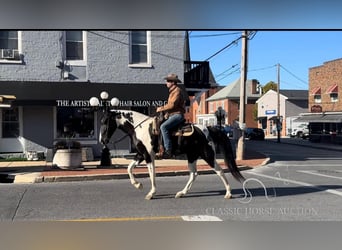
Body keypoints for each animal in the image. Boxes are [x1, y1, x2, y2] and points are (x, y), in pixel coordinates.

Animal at [100, 110, 244, 200]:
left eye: (105, 122)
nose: (102, 140)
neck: (139, 128)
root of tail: (207, 128)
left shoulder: (148, 155)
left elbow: (151, 174)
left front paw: (151, 193)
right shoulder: (141, 154)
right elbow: (129, 168)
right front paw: (138, 185)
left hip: (207, 154)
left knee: (219, 171)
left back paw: (228, 193)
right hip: (192, 156)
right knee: (193, 174)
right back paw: (181, 193)